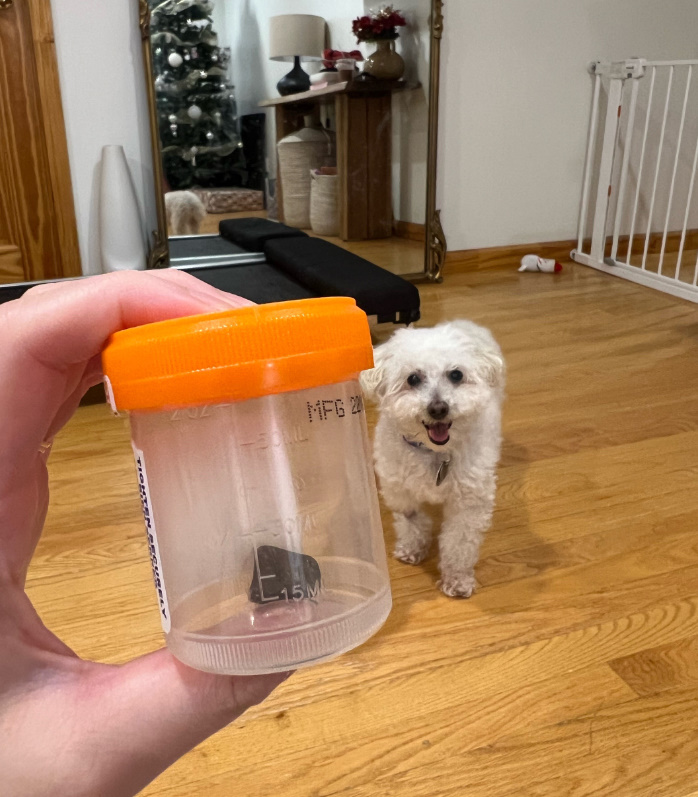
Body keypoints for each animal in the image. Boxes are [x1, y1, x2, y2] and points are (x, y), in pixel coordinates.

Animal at [362, 320, 502, 592]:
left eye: (456, 375)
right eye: (413, 378)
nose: (438, 409)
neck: (435, 453)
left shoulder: (468, 503)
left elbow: (459, 542)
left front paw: (457, 579)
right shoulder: (400, 491)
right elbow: (411, 522)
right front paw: (412, 548)